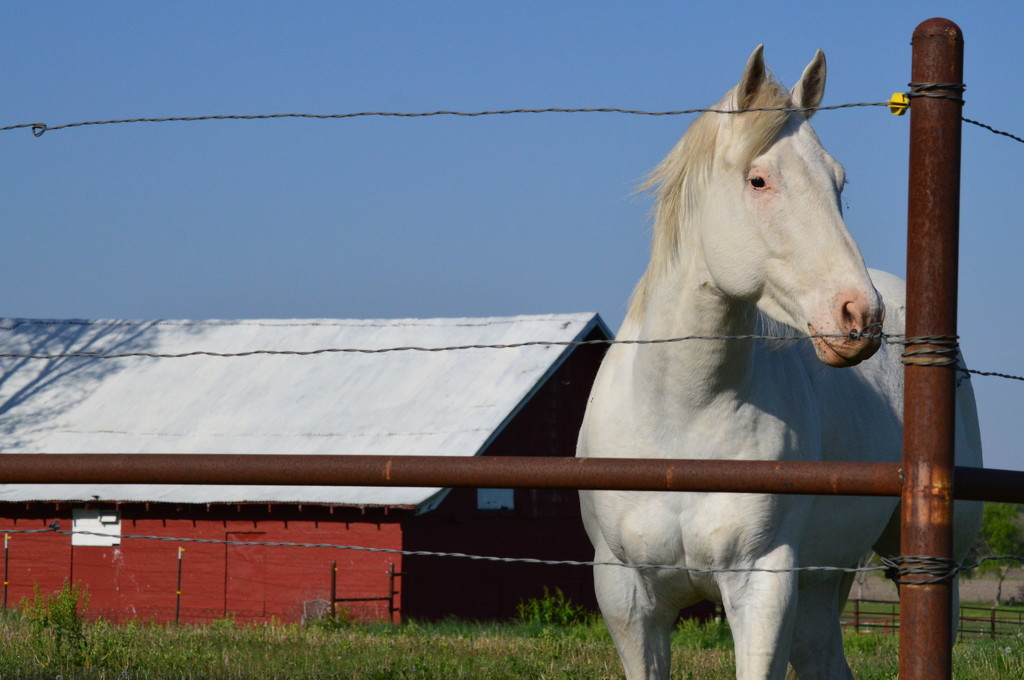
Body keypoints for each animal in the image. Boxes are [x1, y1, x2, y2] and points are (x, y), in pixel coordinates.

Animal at [577, 47, 983, 680]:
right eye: (759, 179)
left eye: (838, 180)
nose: (859, 315)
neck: (678, 425)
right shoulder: (627, 598)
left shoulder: (763, 585)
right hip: (821, 583)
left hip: (919, 564)